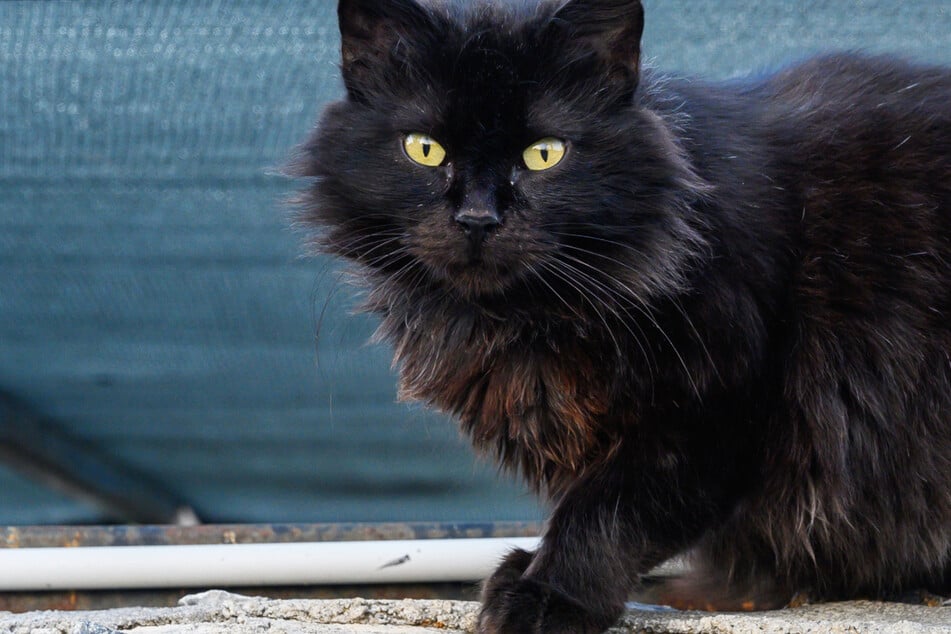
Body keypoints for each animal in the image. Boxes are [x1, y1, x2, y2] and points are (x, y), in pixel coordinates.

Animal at [290, 0, 951, 628]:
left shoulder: (712, 411)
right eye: (425, 150)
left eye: (544, 154)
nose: (478, 219)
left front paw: (550, 595)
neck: (526, 319)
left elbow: (603, 513)